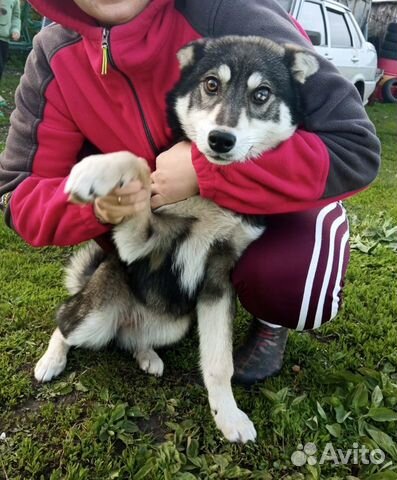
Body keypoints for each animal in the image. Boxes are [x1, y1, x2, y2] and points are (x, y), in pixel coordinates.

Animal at [34, 35, 318, 444]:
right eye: (211, 84)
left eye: (262, 94)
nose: (220, 139)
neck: (209, 199)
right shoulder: (142, 245)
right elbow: (141, 164)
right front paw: (96, 170)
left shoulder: (218, 281)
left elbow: (219, 363)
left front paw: (227, 415)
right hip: (98, 313)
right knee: (65, 322)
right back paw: (51, 360)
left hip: (175, 323)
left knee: (131, 339)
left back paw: (147, 355)